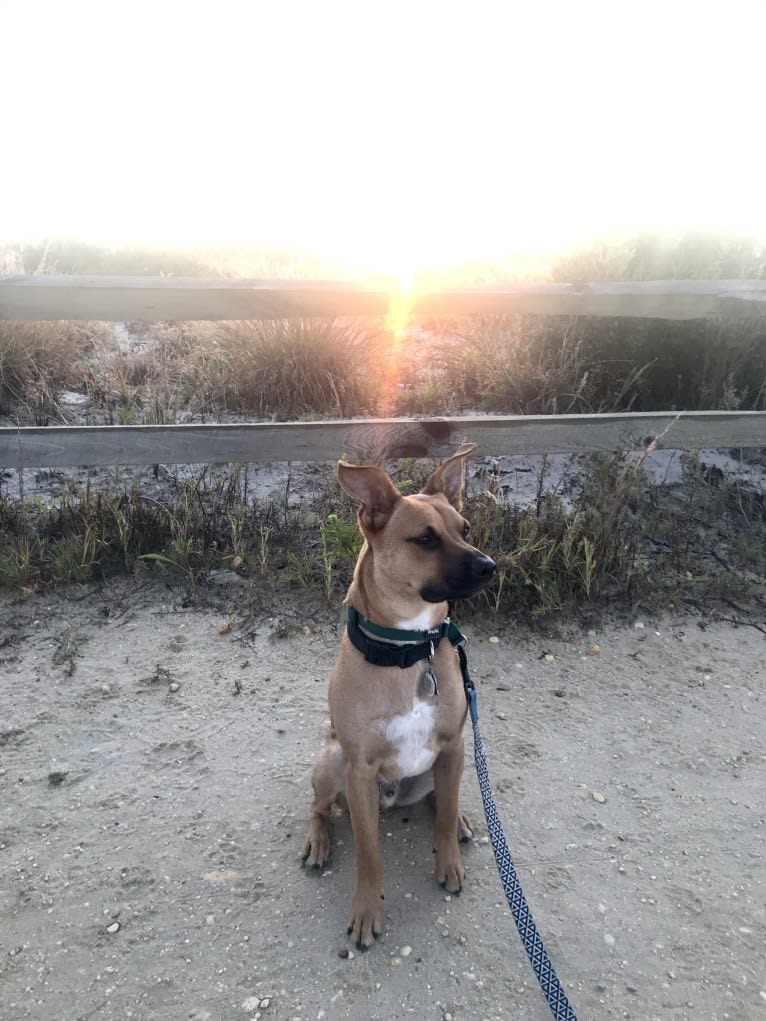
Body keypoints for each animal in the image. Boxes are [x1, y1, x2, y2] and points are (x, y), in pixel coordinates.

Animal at [302, 445, 498, 947]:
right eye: (425, 539)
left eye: (465, 529)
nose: (489, 566)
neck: (410, 649)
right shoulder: (360, 770)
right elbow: (368, 854)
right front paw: (367, 909)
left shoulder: (453, 745)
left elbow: (443, 820)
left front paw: (449, 860)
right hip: (332, 763)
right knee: (319, 808)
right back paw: (319, 840)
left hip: (443, 765)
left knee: (442, 799)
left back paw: (461, 817)